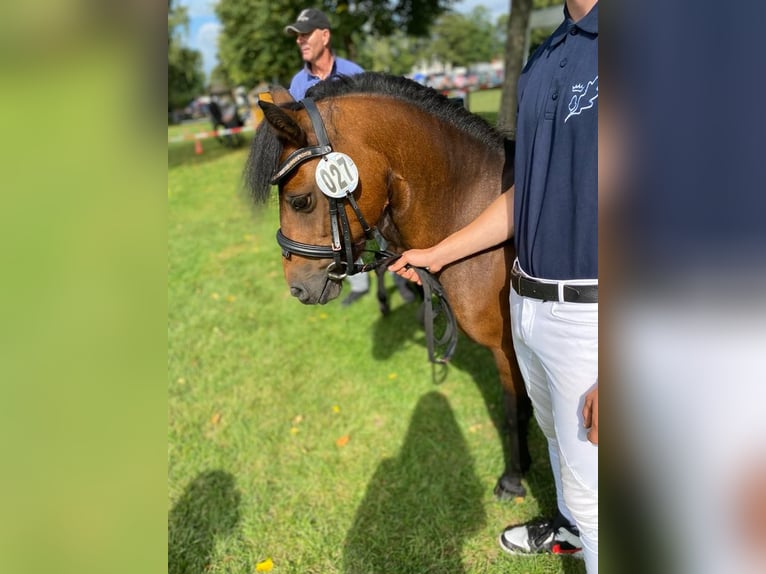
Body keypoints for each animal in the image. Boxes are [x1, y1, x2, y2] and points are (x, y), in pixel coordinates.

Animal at [246, 73, 536, 500]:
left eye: (299, 201)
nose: (297, 288)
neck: (477, 216)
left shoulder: (508, 348)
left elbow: (516, 409)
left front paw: (514, 477)